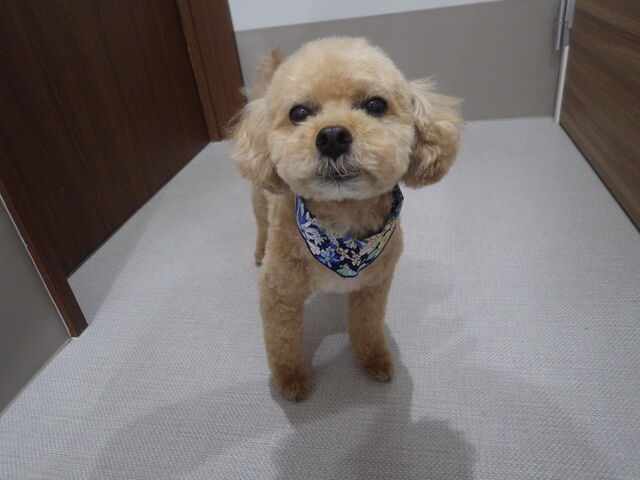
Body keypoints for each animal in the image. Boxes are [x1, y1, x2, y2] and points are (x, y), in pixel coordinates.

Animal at [230, 37, 461, 400]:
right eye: (298, 113)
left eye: (376, 105)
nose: (332, 136)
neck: (342, 228)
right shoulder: (278, 293)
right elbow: (283, 343)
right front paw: (290, 379)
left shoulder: (373, 286)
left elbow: (367, 328)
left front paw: (374, 360)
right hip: (258, 197)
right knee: (260, 223)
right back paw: (257, 249)